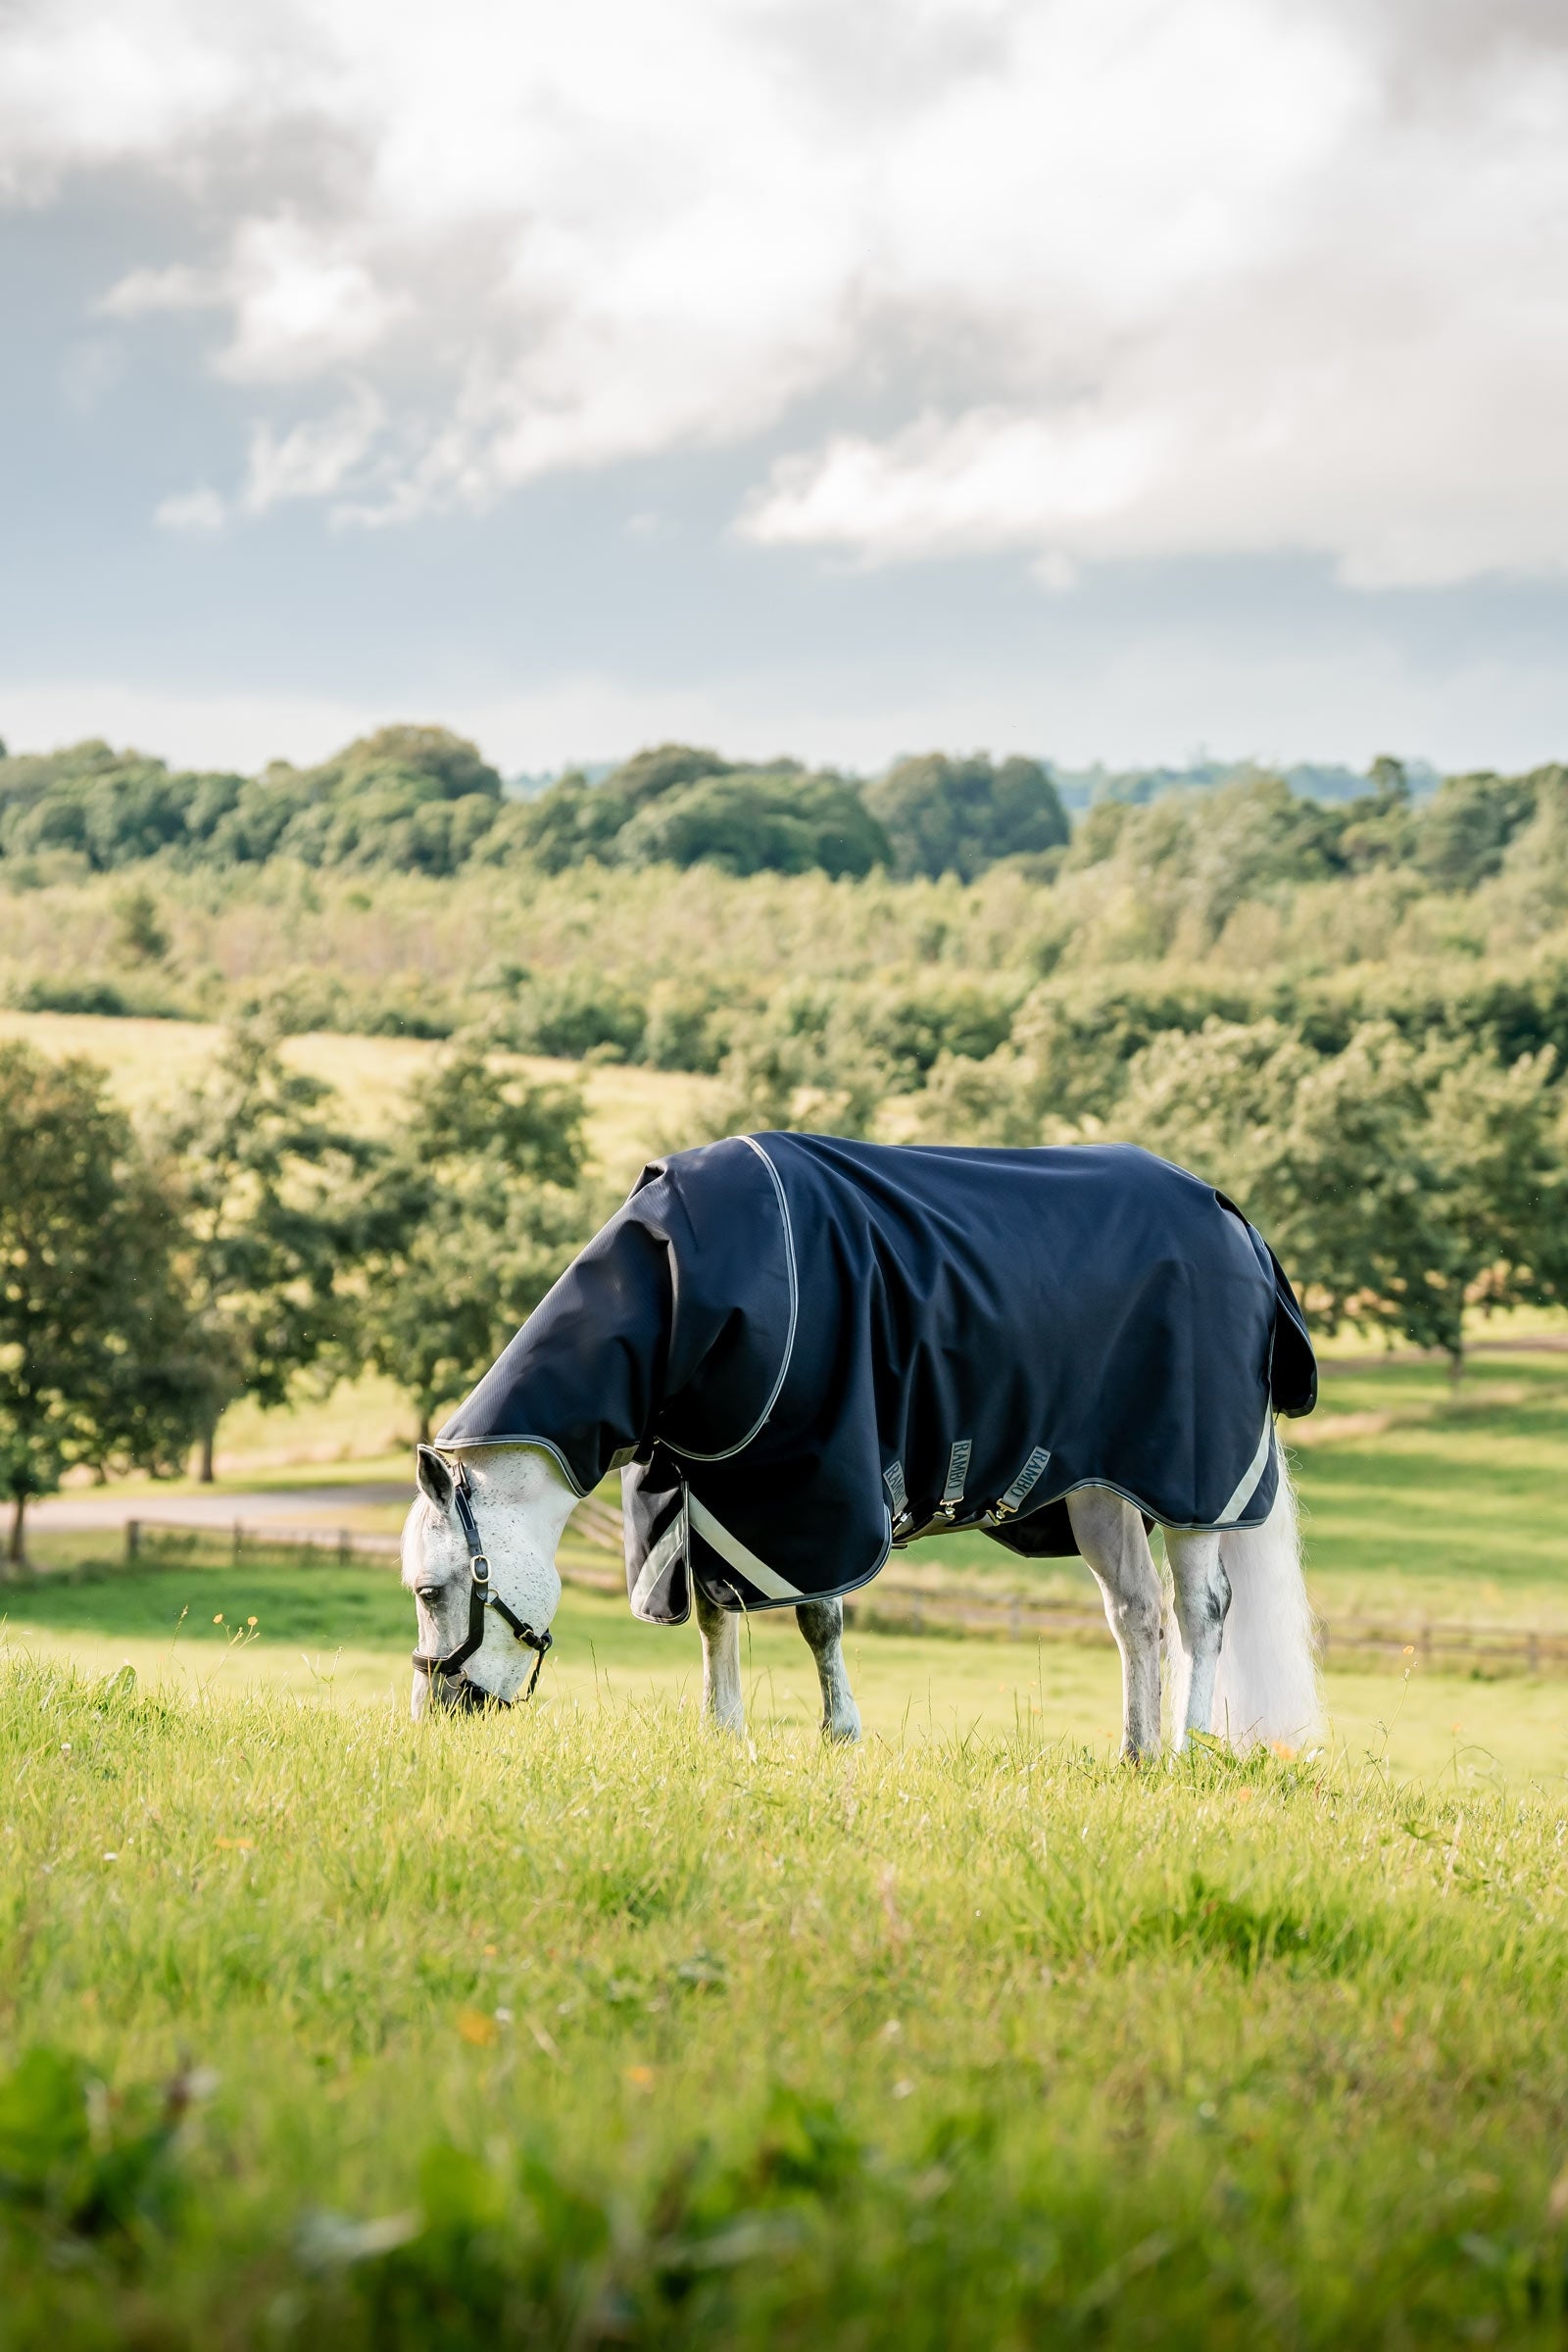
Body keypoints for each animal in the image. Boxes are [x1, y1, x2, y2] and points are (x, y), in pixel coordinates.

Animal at [401, 1133, 1322, 1758]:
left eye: (430, 1589)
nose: (440, 1718)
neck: (687, 1289)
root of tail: (1230, 1217)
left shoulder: (821, 1487)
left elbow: (820, 1618)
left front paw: (838, 1731)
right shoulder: (706, 1488)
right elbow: (716, 1613)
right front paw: (723, 1732)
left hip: (1193, 1486)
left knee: (1200, 1612)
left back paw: (1190, 1749)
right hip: (1098, 1490)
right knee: (1136, 1612)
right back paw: (1137, 1753)